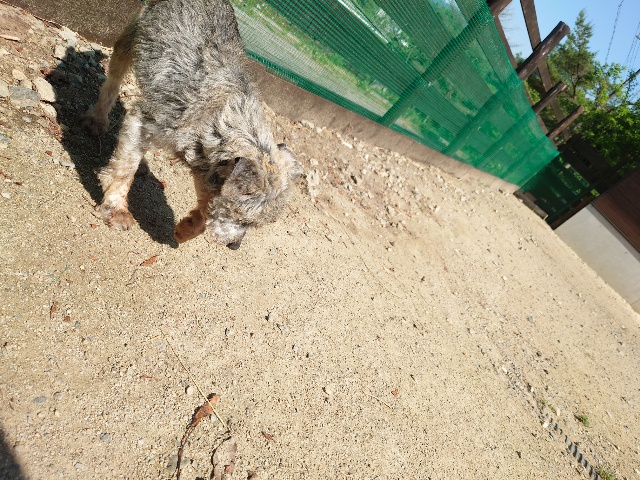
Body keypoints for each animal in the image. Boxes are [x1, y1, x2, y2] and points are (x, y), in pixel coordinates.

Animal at [83, 0, 300, 250]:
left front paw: (186, 229)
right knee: (113, 79)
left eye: (253, 225)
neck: (218, 121)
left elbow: (206, 209)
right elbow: (124, 169)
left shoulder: (204, 167)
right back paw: (97, 119)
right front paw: (115, 209)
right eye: (240, 218)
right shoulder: (143, 120)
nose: (235, 246)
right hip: (133, 39)